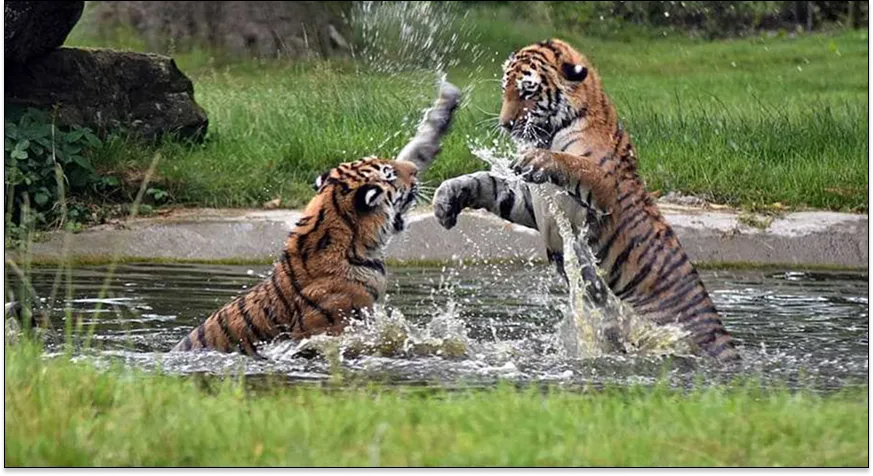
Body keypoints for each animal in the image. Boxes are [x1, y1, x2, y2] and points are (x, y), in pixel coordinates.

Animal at [433, 39, 739, 362]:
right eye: (506, 89)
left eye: (527, 90)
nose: (506, 124)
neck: (553, 132)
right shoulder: (529, 201)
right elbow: (486, 182)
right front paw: (446, 198)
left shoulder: (604, 189)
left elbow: (574, 163)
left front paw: (538, 158)